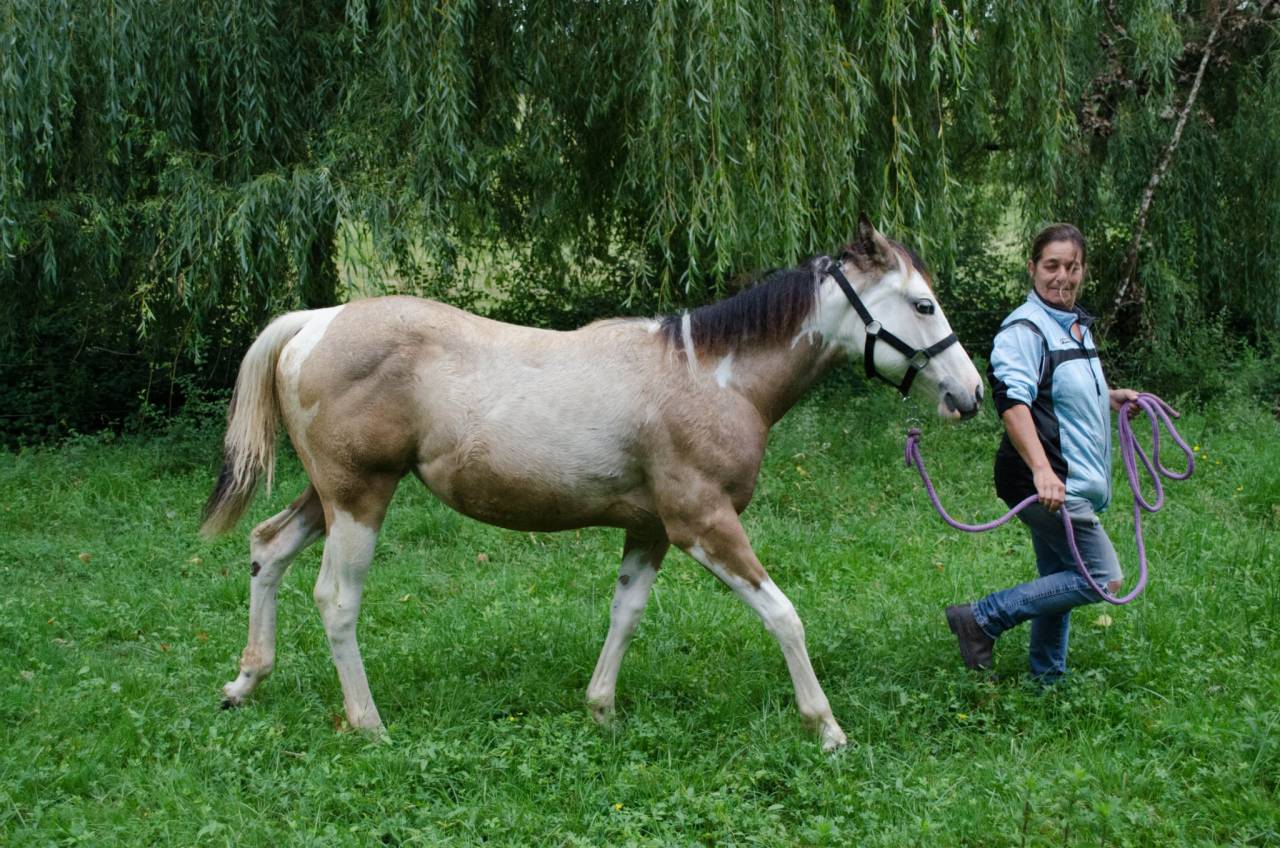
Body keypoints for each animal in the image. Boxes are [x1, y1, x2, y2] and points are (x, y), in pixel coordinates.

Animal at [202, 215, 983, 751]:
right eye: (922, 305)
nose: (971, 395)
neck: (710, 377)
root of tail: (315, 321)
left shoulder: (651, 529)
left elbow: (625, 613)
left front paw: (600, 709)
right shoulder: (704, 524)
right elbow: (784, 614)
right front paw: (827, 729)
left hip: (330, 496)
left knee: (268, 547)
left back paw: (244, 682)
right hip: (360, 498)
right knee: (336, 600)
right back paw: (368, 723)